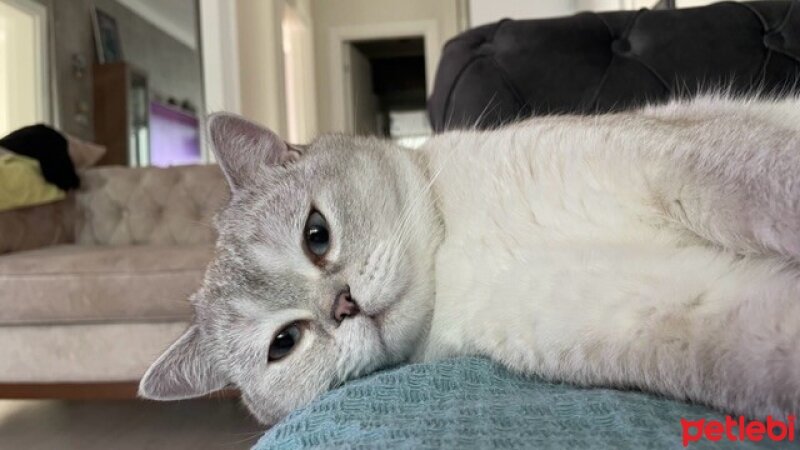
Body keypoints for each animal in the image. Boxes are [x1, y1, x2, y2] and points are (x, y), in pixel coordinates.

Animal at [138, 95, 800, 426]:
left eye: (316, 235)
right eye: (284, 343)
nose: (343, 305)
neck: (458, 252)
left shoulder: (678, 165)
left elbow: (777, 193)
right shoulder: (688, 315)